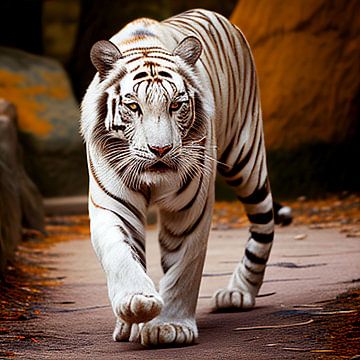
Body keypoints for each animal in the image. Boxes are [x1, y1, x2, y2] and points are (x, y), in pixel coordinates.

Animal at [80, 8, 274, 346]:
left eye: (176, 105)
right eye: (134, 106)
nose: (161, 149)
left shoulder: (190, 209)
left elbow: (184, 268)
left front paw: (171, 326)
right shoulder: (113, 203)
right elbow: (120, 254)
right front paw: (136, 305)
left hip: (246, 158)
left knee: (264, 223)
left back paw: (238, 293)